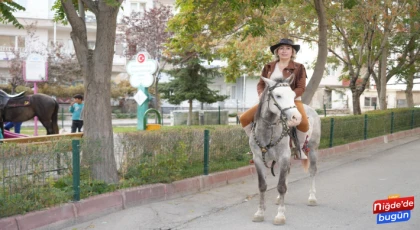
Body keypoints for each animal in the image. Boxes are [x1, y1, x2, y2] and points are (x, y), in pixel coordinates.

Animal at [249, 77, 322, 225]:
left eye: (293, 95)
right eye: (278, 96)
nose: (296, 118)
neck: (268, 131)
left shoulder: (283, 157)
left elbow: (281, 186)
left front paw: (280, 215)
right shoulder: (258, 159)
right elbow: (262, 185)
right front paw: (260, 213)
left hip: (312, 149)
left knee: (312, 171)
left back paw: (312, 198)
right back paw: (279, 198)